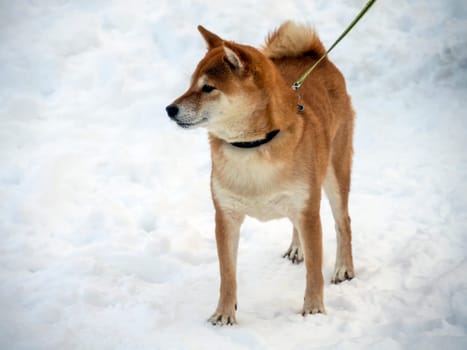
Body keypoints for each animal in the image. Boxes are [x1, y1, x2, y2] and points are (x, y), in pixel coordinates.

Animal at [166, 21, 356, 326]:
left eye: (208, 88)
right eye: (191, 83)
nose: (169, 109)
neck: (252, 147)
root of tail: (316, 56)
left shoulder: (308, 211)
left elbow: (314, 272)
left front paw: (314, 310)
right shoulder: (226, 216)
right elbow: (227, 275)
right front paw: (224, 314)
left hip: (335, 174)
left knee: (343, 222)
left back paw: (344, 268)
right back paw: (297, 248)